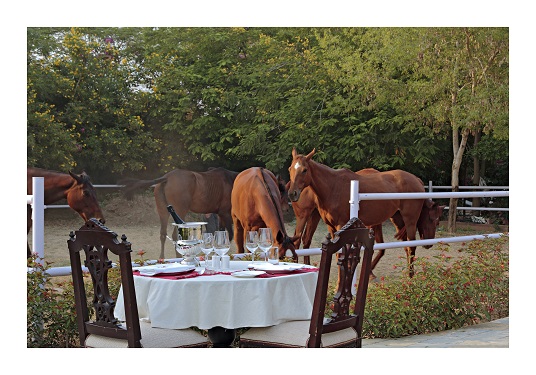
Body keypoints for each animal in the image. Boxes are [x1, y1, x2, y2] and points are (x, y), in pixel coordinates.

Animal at [286, 148, 430, 278]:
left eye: (304, 170)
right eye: (290, 169)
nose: (292, 193)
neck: (333, 187)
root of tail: (417, 180)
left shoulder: (341, 226)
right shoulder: (331, 227)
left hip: (410, 220)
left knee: (411, 246)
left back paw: (410, 277)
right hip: (398, 219)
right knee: (406, 247)